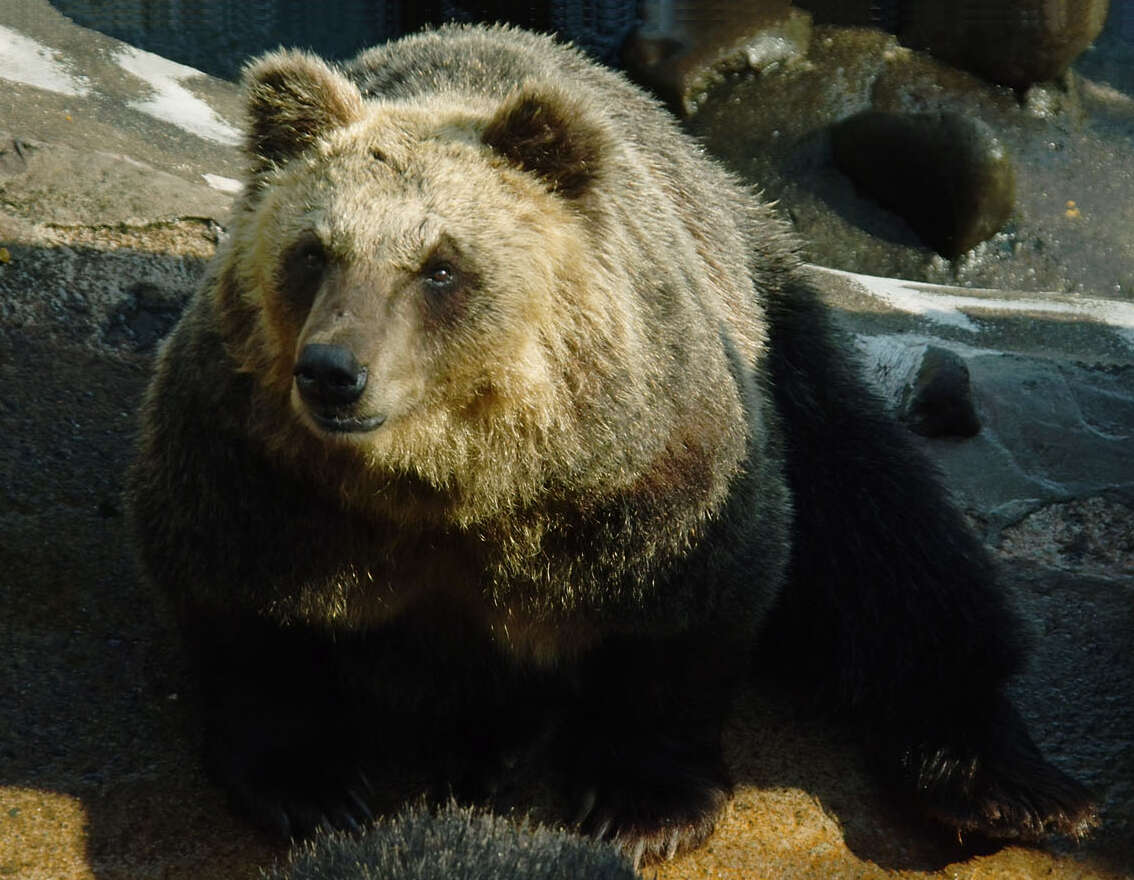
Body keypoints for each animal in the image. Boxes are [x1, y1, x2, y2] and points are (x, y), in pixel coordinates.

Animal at [126, 20, 1097, 866]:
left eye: (439, 266)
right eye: (312, 251)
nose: (334, 372)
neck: (450, 475)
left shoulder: (643, 460)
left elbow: (693, 605)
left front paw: (639, 805)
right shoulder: (258, 466)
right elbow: (243, 608)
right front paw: (316, 785)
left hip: (783, 328)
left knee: (884, 529)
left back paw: (1007, 784)